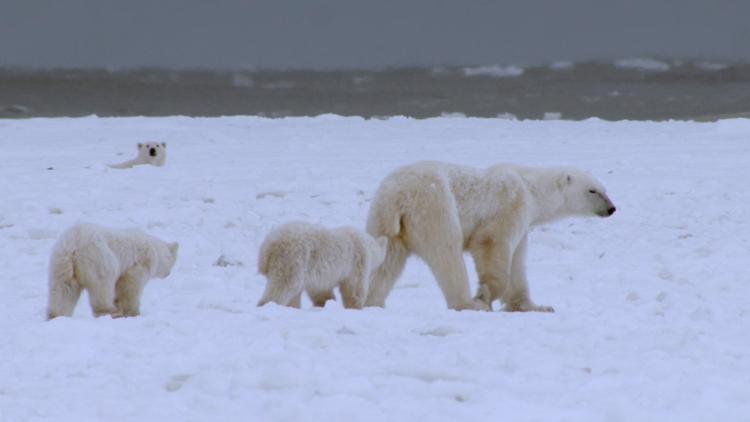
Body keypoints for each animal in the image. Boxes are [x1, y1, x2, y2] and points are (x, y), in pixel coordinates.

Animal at [46, 223, 179, 318]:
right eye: (172, 262)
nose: (168, 274)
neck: (155, 250)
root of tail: (73, 245)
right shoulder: (139, 262)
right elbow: (130, 286)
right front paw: (133, 312)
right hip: (99, 258)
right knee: (102, 286)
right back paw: (111, 311)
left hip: (60, 261)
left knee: (63, 289)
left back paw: (57, 315)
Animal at [258, 223, 388, 308]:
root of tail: (268, 247)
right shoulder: (357, 262)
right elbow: (353, 289)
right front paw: (356, 306)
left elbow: (320, 290)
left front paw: (325, 302)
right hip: (292, 259)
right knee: (284, 286)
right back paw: (267, 304)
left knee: (293, 291)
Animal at [364, 160, 616, 312]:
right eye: (592, 190)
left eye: (605, 189)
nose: (612, 208)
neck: (530, 189)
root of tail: (398, 196)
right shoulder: (510, 206)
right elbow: (491, 244)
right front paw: (484, 296)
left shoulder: (523, 225)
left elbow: (518, 264)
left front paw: (536, 306)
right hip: (434, 205)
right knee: (447, 252)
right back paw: (468, 303)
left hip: (385, 218)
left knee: (385, 259)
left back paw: (373, 302)